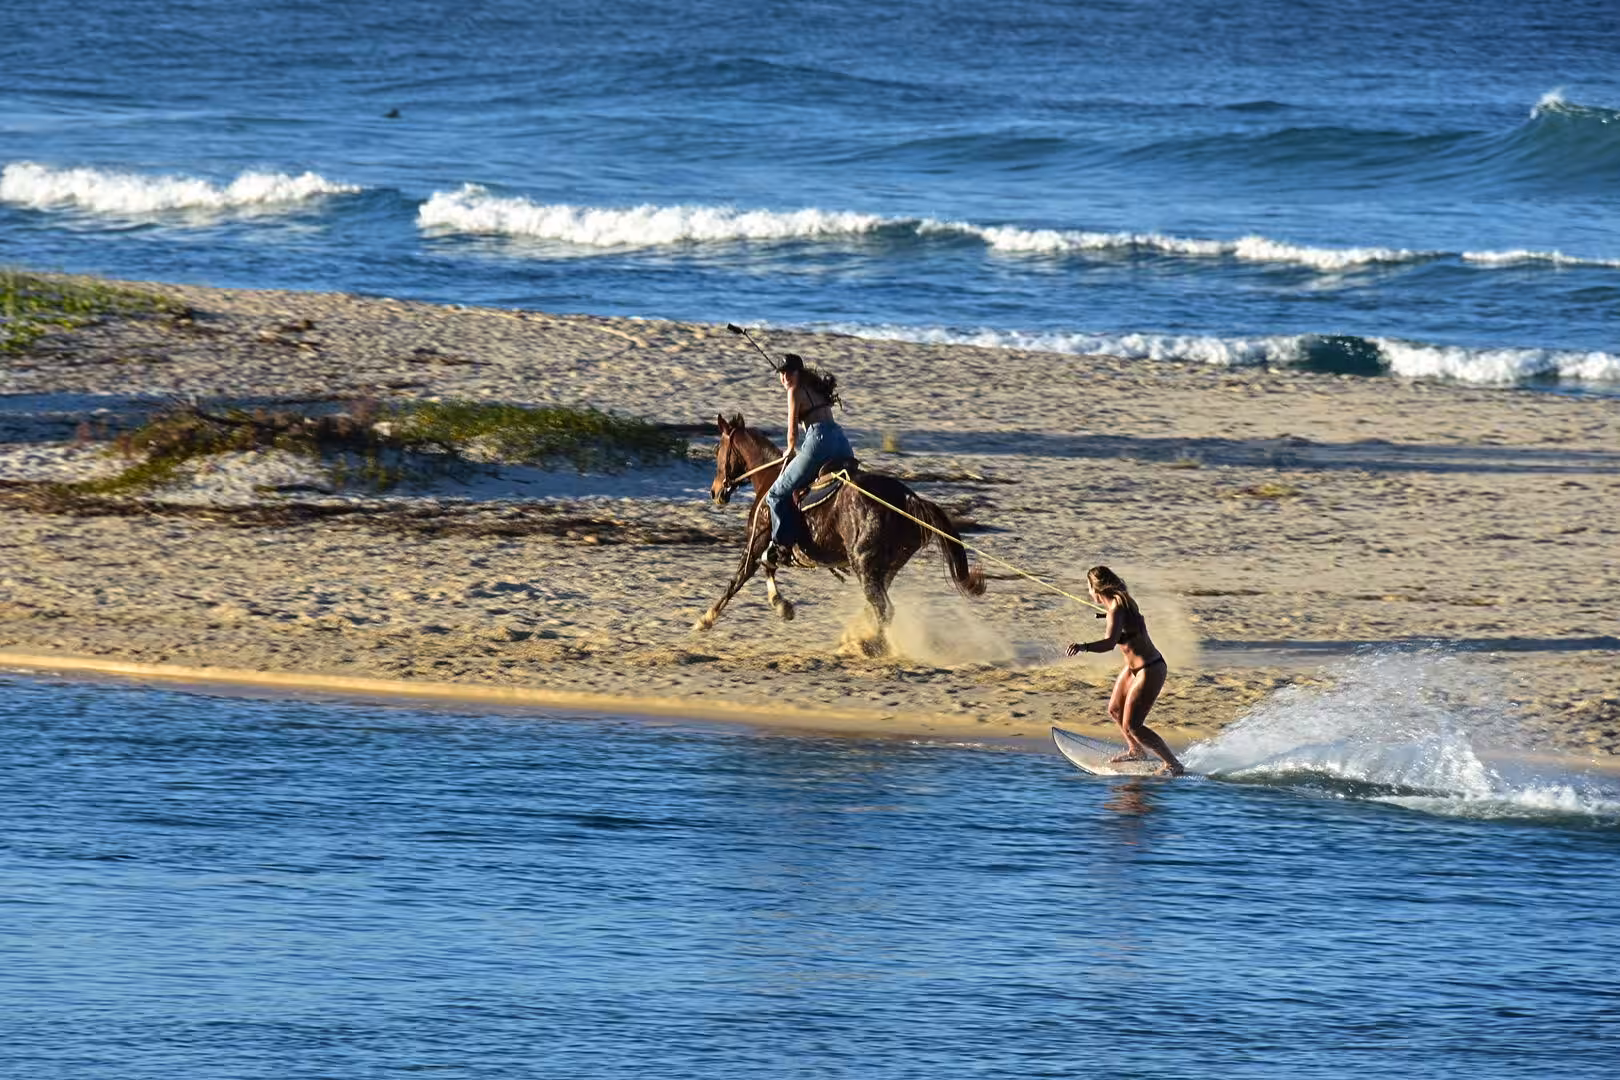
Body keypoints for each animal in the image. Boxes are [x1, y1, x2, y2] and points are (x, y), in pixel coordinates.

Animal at [695, 413, 984, 652]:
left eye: (717, 450)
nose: (715, 492)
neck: (770, 481)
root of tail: (907, 498)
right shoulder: (770, 546)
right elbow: (769, 567)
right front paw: (783, 606)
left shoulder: (757, 541)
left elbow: (738, 579)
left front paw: (705, 619)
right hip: (886, 567)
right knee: (878, 606)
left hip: (863, 565)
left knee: (884, 609)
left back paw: (871, 646)